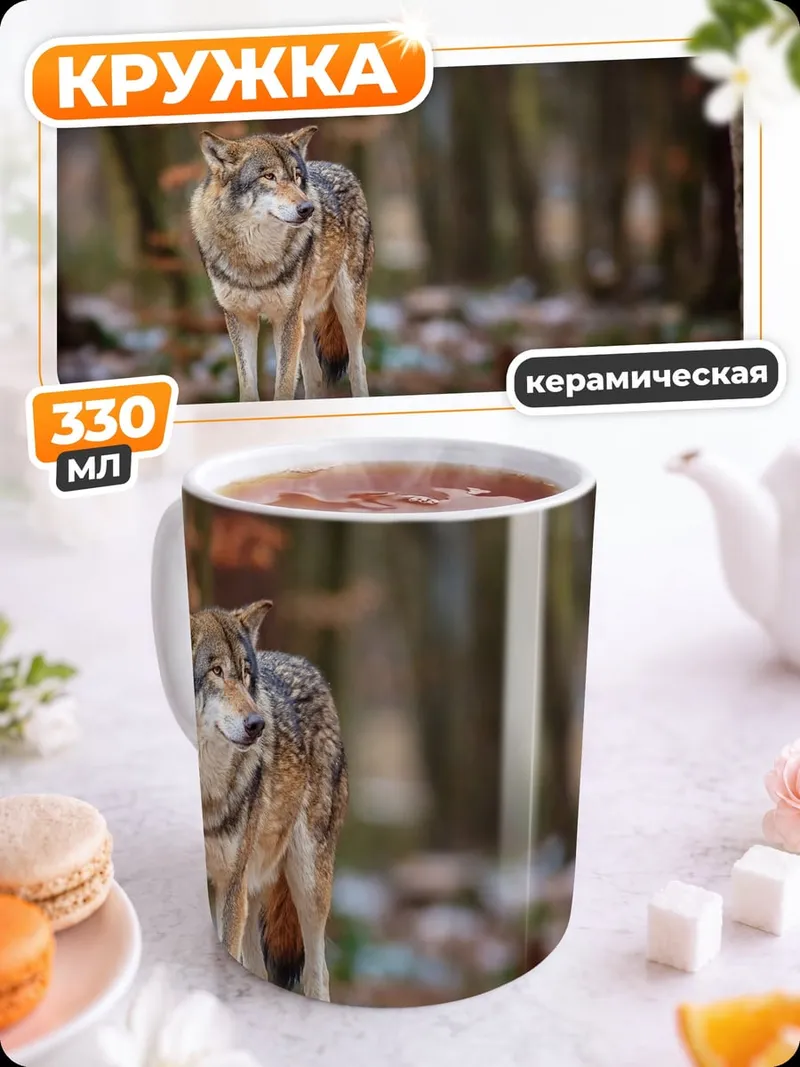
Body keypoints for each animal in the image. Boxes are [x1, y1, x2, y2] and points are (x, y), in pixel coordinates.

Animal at [190, 126, 374, 403]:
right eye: (269, 176)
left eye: (297, 177)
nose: (308, 208)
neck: (256, 258)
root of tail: (339, 167)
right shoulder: (240, 318)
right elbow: (248, 389)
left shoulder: (286, 319)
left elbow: (284, 389)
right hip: (305, 320)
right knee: (315, 376)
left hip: (347, 310)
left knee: (357, 367)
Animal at [191, 600, 348, 1002]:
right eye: (216, 671)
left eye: (247, 674)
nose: (257, 724)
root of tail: (304, 664)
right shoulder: (229, 889)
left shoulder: (229, 885)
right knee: (258, 971)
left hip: (307, 882)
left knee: (317, 974)